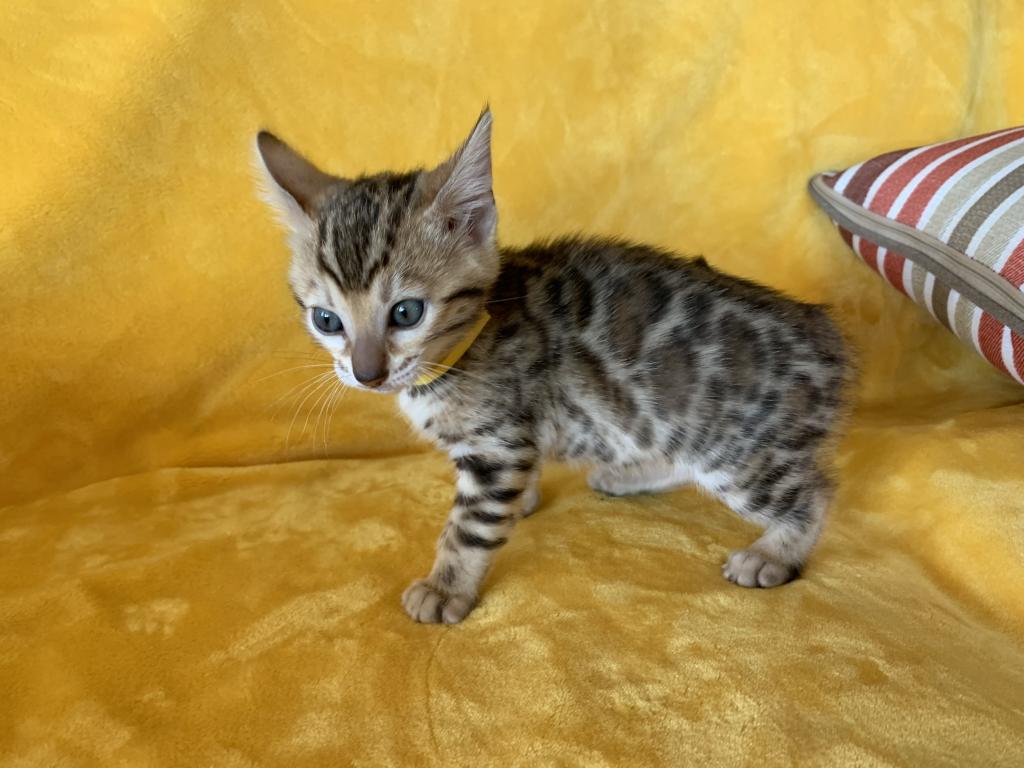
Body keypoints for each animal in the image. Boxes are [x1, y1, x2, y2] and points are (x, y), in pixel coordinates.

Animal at [253, 109, 847, 626]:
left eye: (406, 312)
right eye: (327, 320)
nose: (367, 373)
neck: (459, 354)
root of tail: (827, 334)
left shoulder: (497, 448)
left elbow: (468, 528)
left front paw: (446, 587)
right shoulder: (513, 440)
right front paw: (525, 502)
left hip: (735, 449)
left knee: (813, 493)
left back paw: (775, 553)